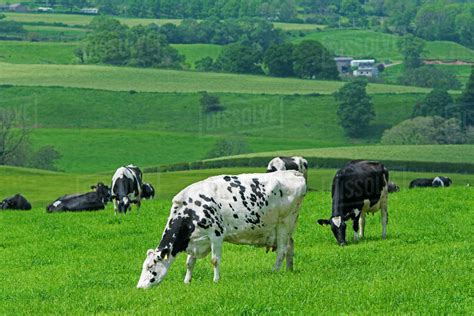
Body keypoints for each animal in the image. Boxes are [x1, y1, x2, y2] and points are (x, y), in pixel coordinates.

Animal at [137, 170, 308, 288]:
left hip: (284, 223)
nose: (139, 287)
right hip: (286, 227)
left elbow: (214, 260)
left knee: (282, 250)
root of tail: (293, 173)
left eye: (150, 267)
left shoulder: (216, 234)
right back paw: (289, 270)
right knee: (290, 246)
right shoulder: (195, 240)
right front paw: (187, 281)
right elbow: (189, 263)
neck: (190, 210)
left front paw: (216, 280)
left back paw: (274, 271)